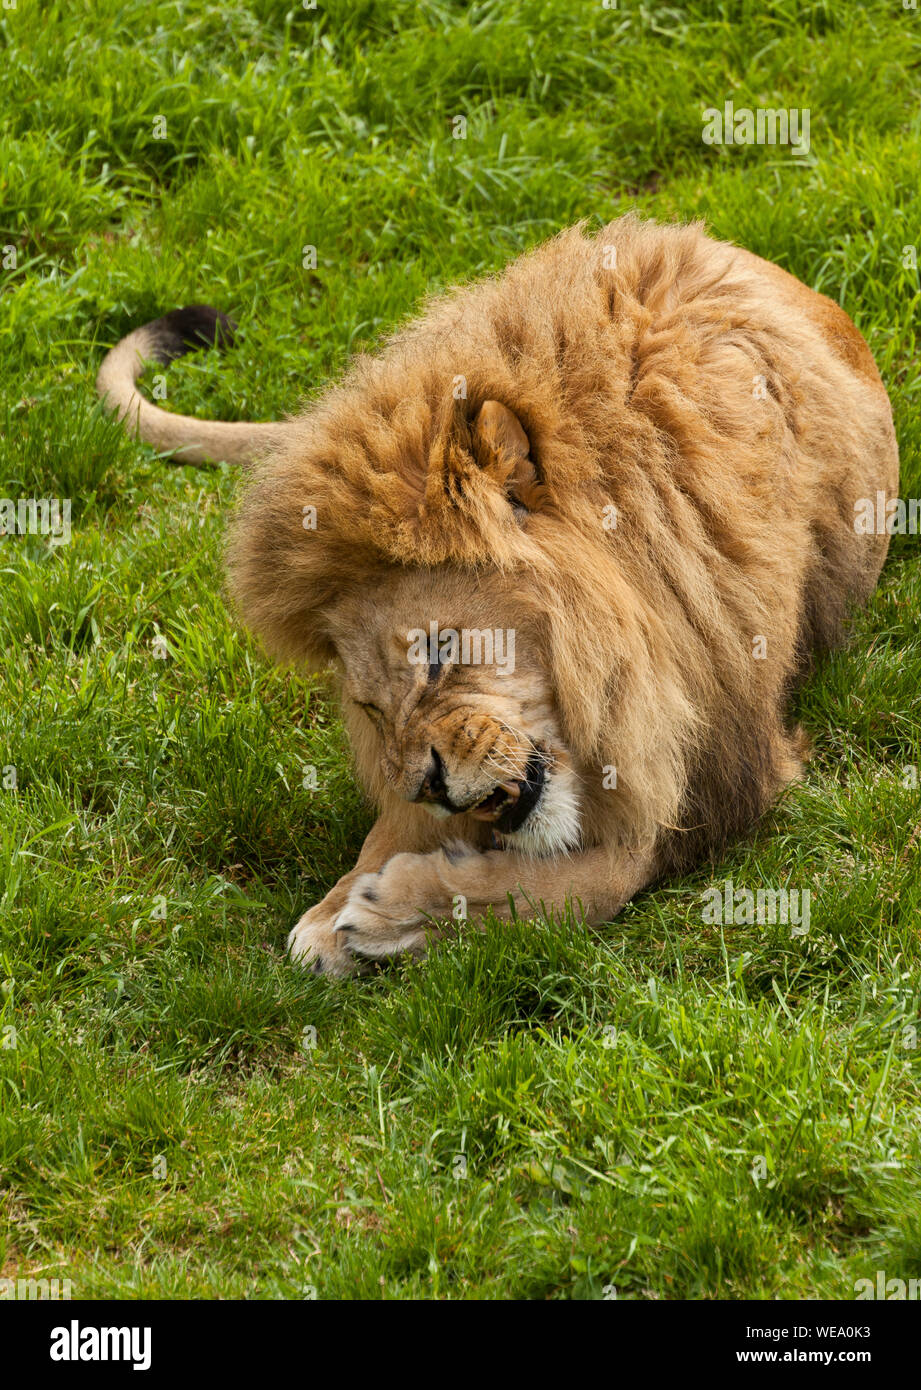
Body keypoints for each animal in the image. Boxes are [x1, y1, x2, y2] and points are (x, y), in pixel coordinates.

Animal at [99, 214, 900, 978]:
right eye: (368, 709)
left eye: (439, 652)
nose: (424, 784)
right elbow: (404, 832)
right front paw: (338, 908)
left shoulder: (721, 770)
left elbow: (575, 886)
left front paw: (394, 910)